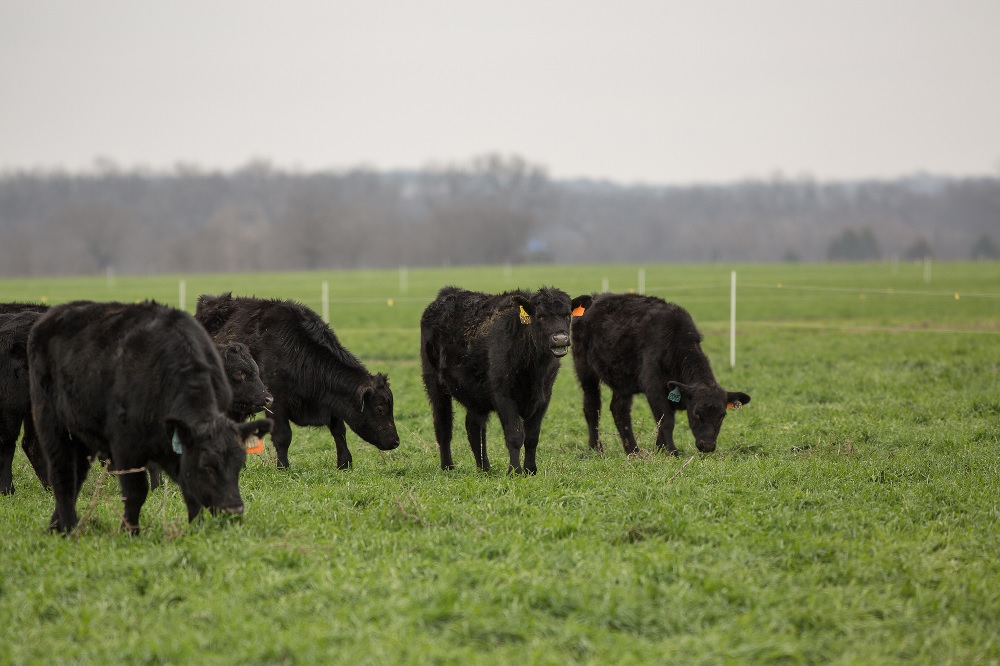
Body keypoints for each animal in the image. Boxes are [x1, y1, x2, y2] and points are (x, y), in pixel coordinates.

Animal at [29, 300, 272, 536]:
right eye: (240, 373)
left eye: (256, 371)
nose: (268, 398)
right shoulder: (128, 447)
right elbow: (137, 489)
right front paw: (131, 529)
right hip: (53, 430)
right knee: (61, 477)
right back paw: (68, 528)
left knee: (75, 477)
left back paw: (56, 526)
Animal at [195, 294, 398, 470]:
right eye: (380, 409)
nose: (396, 441)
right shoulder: (275, 402)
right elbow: (283, 436)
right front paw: (283, 467)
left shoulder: (331, 403)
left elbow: (339, 431)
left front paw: (344, 463)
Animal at [418, 284, 572, 472]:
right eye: (540, 316)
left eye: (568, 314)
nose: (560, 339)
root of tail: (448, 293)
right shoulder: (503, 396)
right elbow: (515, 436)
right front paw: (515, 470)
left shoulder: (544, 397)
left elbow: (532, 437)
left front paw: (530, 470)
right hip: (435, 384)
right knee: (443, 425)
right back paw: (448, 466)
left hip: (475, 394)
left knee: (474, 427)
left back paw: (484, 468)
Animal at [572, 292, 752, 454]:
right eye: (696, 413)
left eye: (722, 415)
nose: (707, 446)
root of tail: (595, 297)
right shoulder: (653, 386)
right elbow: (666, 420)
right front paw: (671, 451)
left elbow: (661, 421)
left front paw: (659, 449)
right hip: (586, 371)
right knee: (592, 407)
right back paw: (596, 448)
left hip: (622, 381)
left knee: (619, 410)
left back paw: (633, 451)